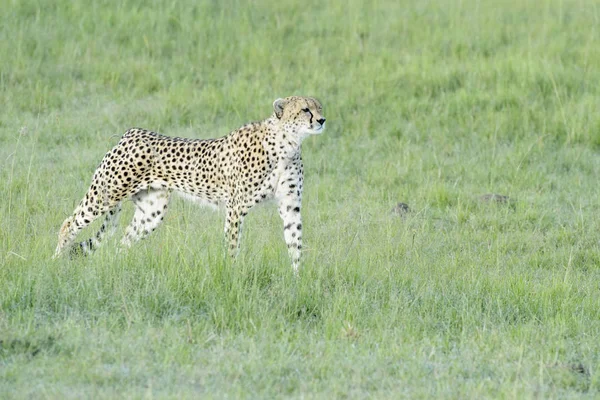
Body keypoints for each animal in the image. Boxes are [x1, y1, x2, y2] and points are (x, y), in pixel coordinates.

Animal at [54, 96, 326, 272]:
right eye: (305, 110)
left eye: (320, 107)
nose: (322, 120)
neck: (287, 143)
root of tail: (131, 133)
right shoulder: (236, 208)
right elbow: (233, 245)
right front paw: (232, 274)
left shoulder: (290, 206)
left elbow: (295, 242)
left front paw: (297, 279)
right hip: (106, 194)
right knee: (68, 224)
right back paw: (55, 262)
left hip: (151, 212)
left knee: (124, 241)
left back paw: (119, 267)